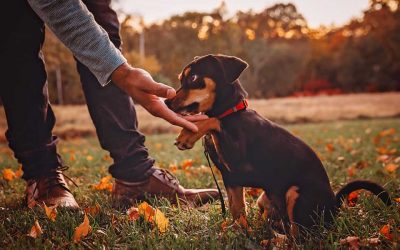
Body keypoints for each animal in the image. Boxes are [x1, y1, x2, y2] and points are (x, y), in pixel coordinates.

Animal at [164, 54, 392, 234]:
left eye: (194, 78)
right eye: (181, 79)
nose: (166, 102)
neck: (232, 113)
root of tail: (335, 207)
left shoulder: (241, 166)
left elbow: (212, 120)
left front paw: (187, 135)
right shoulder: (231, 178)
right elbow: (237, 209)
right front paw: (236, 231)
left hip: (295, 194)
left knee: (301, 235)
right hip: (264, 199)